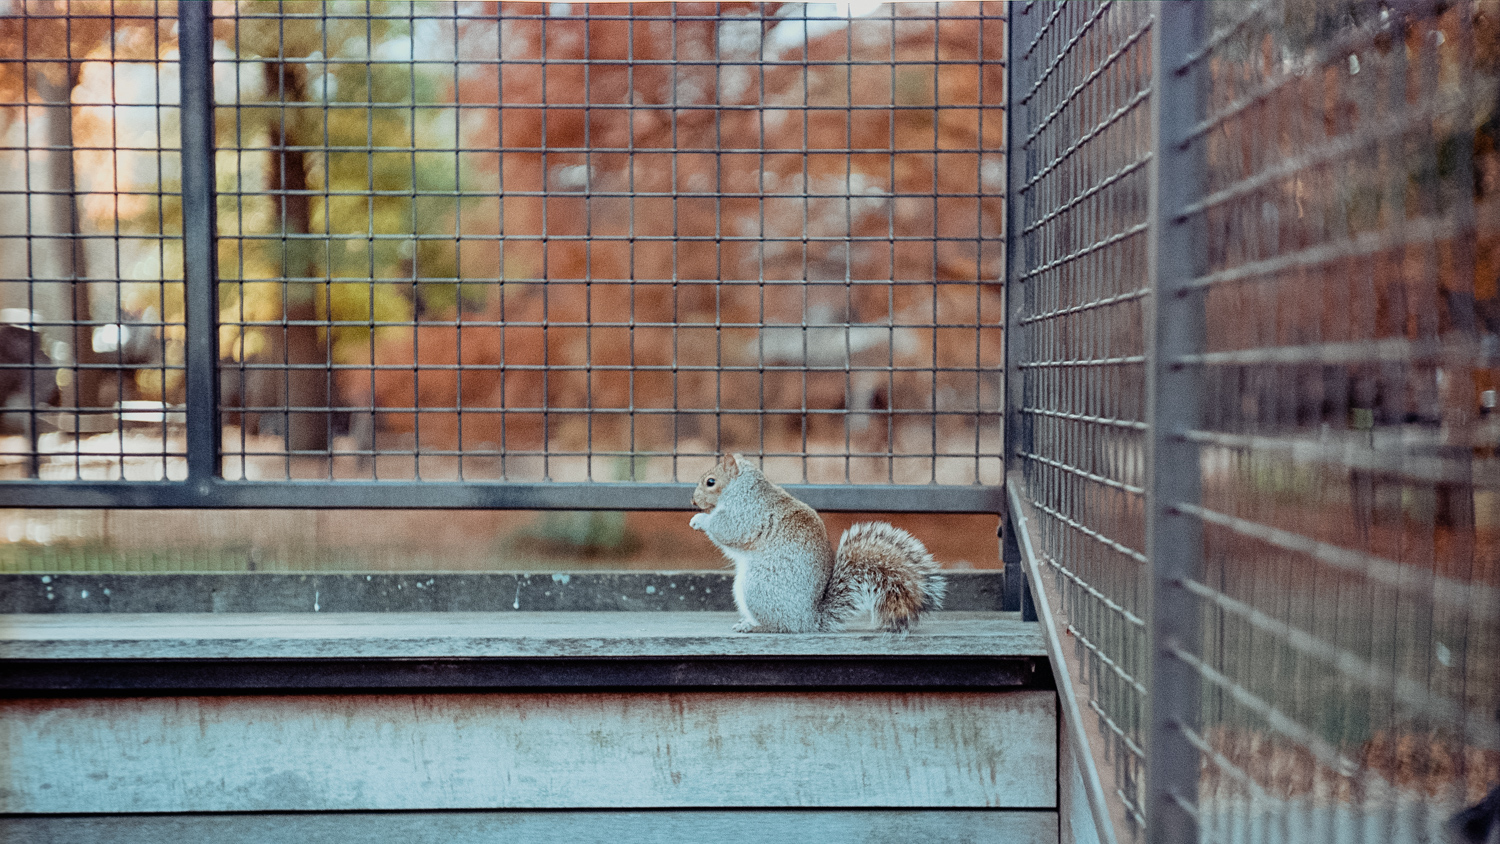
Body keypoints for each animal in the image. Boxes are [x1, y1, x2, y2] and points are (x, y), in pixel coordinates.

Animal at [688, 453, 946, 634]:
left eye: (710, 482)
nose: (692, 501)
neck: (741, 488)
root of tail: (808, 620)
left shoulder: (746, 512)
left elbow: (727, 528)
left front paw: (700, 520)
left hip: (757, 588)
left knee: (781, 626)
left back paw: (753, 626)